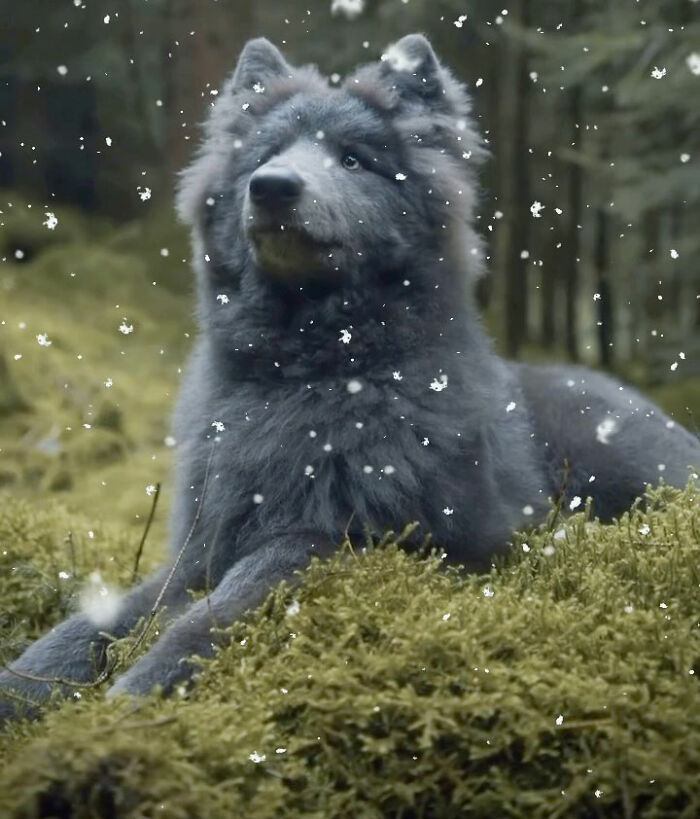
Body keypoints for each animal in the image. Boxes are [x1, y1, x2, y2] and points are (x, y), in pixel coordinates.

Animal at [1, 34, 698, 718]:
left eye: (354, 161)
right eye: (267, 155)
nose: (272, 186)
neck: (307, 375)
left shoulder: (369, 533)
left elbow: (240, 591)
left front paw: (134, 693)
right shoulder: (205, 544)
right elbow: (96, 620)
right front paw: (24, 687)